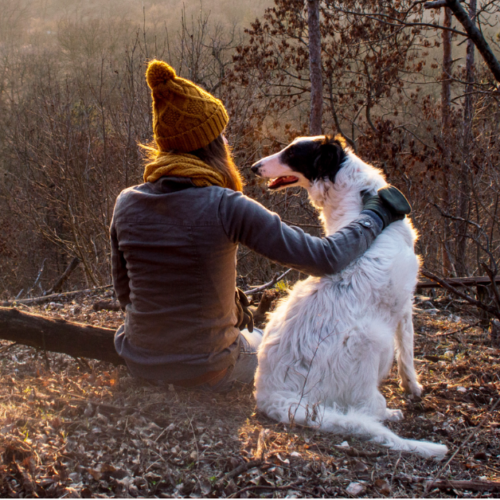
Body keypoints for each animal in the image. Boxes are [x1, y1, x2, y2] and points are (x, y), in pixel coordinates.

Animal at [252, 135, 448, 458]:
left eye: (291, 152)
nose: (254, 167)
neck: (360, 199)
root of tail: (273, 396)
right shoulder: (405, 305)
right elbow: (407, 354)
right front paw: (414, 388)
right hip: (372, 340)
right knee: (368, 409)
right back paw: (390, 411)